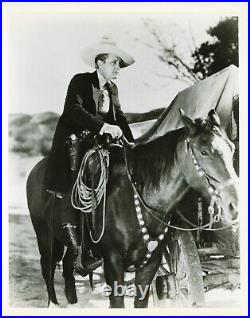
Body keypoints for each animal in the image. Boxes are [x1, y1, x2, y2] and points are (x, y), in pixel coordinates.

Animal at [25, 109, 238, 308]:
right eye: (204, 151)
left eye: (232, 147)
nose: (234, 205)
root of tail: (35, 170)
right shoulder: (113, 262)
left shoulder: (150, 265)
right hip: (44, 235)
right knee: (48, 268)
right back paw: (53, 303)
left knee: (69, 265)